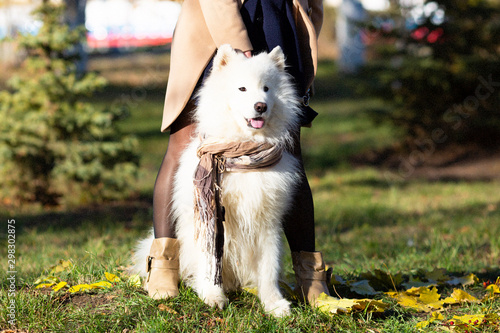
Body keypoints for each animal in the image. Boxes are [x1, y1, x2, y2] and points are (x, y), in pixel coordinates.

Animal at [134, 44, 300, 316]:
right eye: (242, 88)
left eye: (267, 88)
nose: (260, 106)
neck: (243, 154)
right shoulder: (207, 216)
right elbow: (209, 260)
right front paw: (212, 295)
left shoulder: (267, 220)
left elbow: (269, 268)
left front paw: (274, 304)